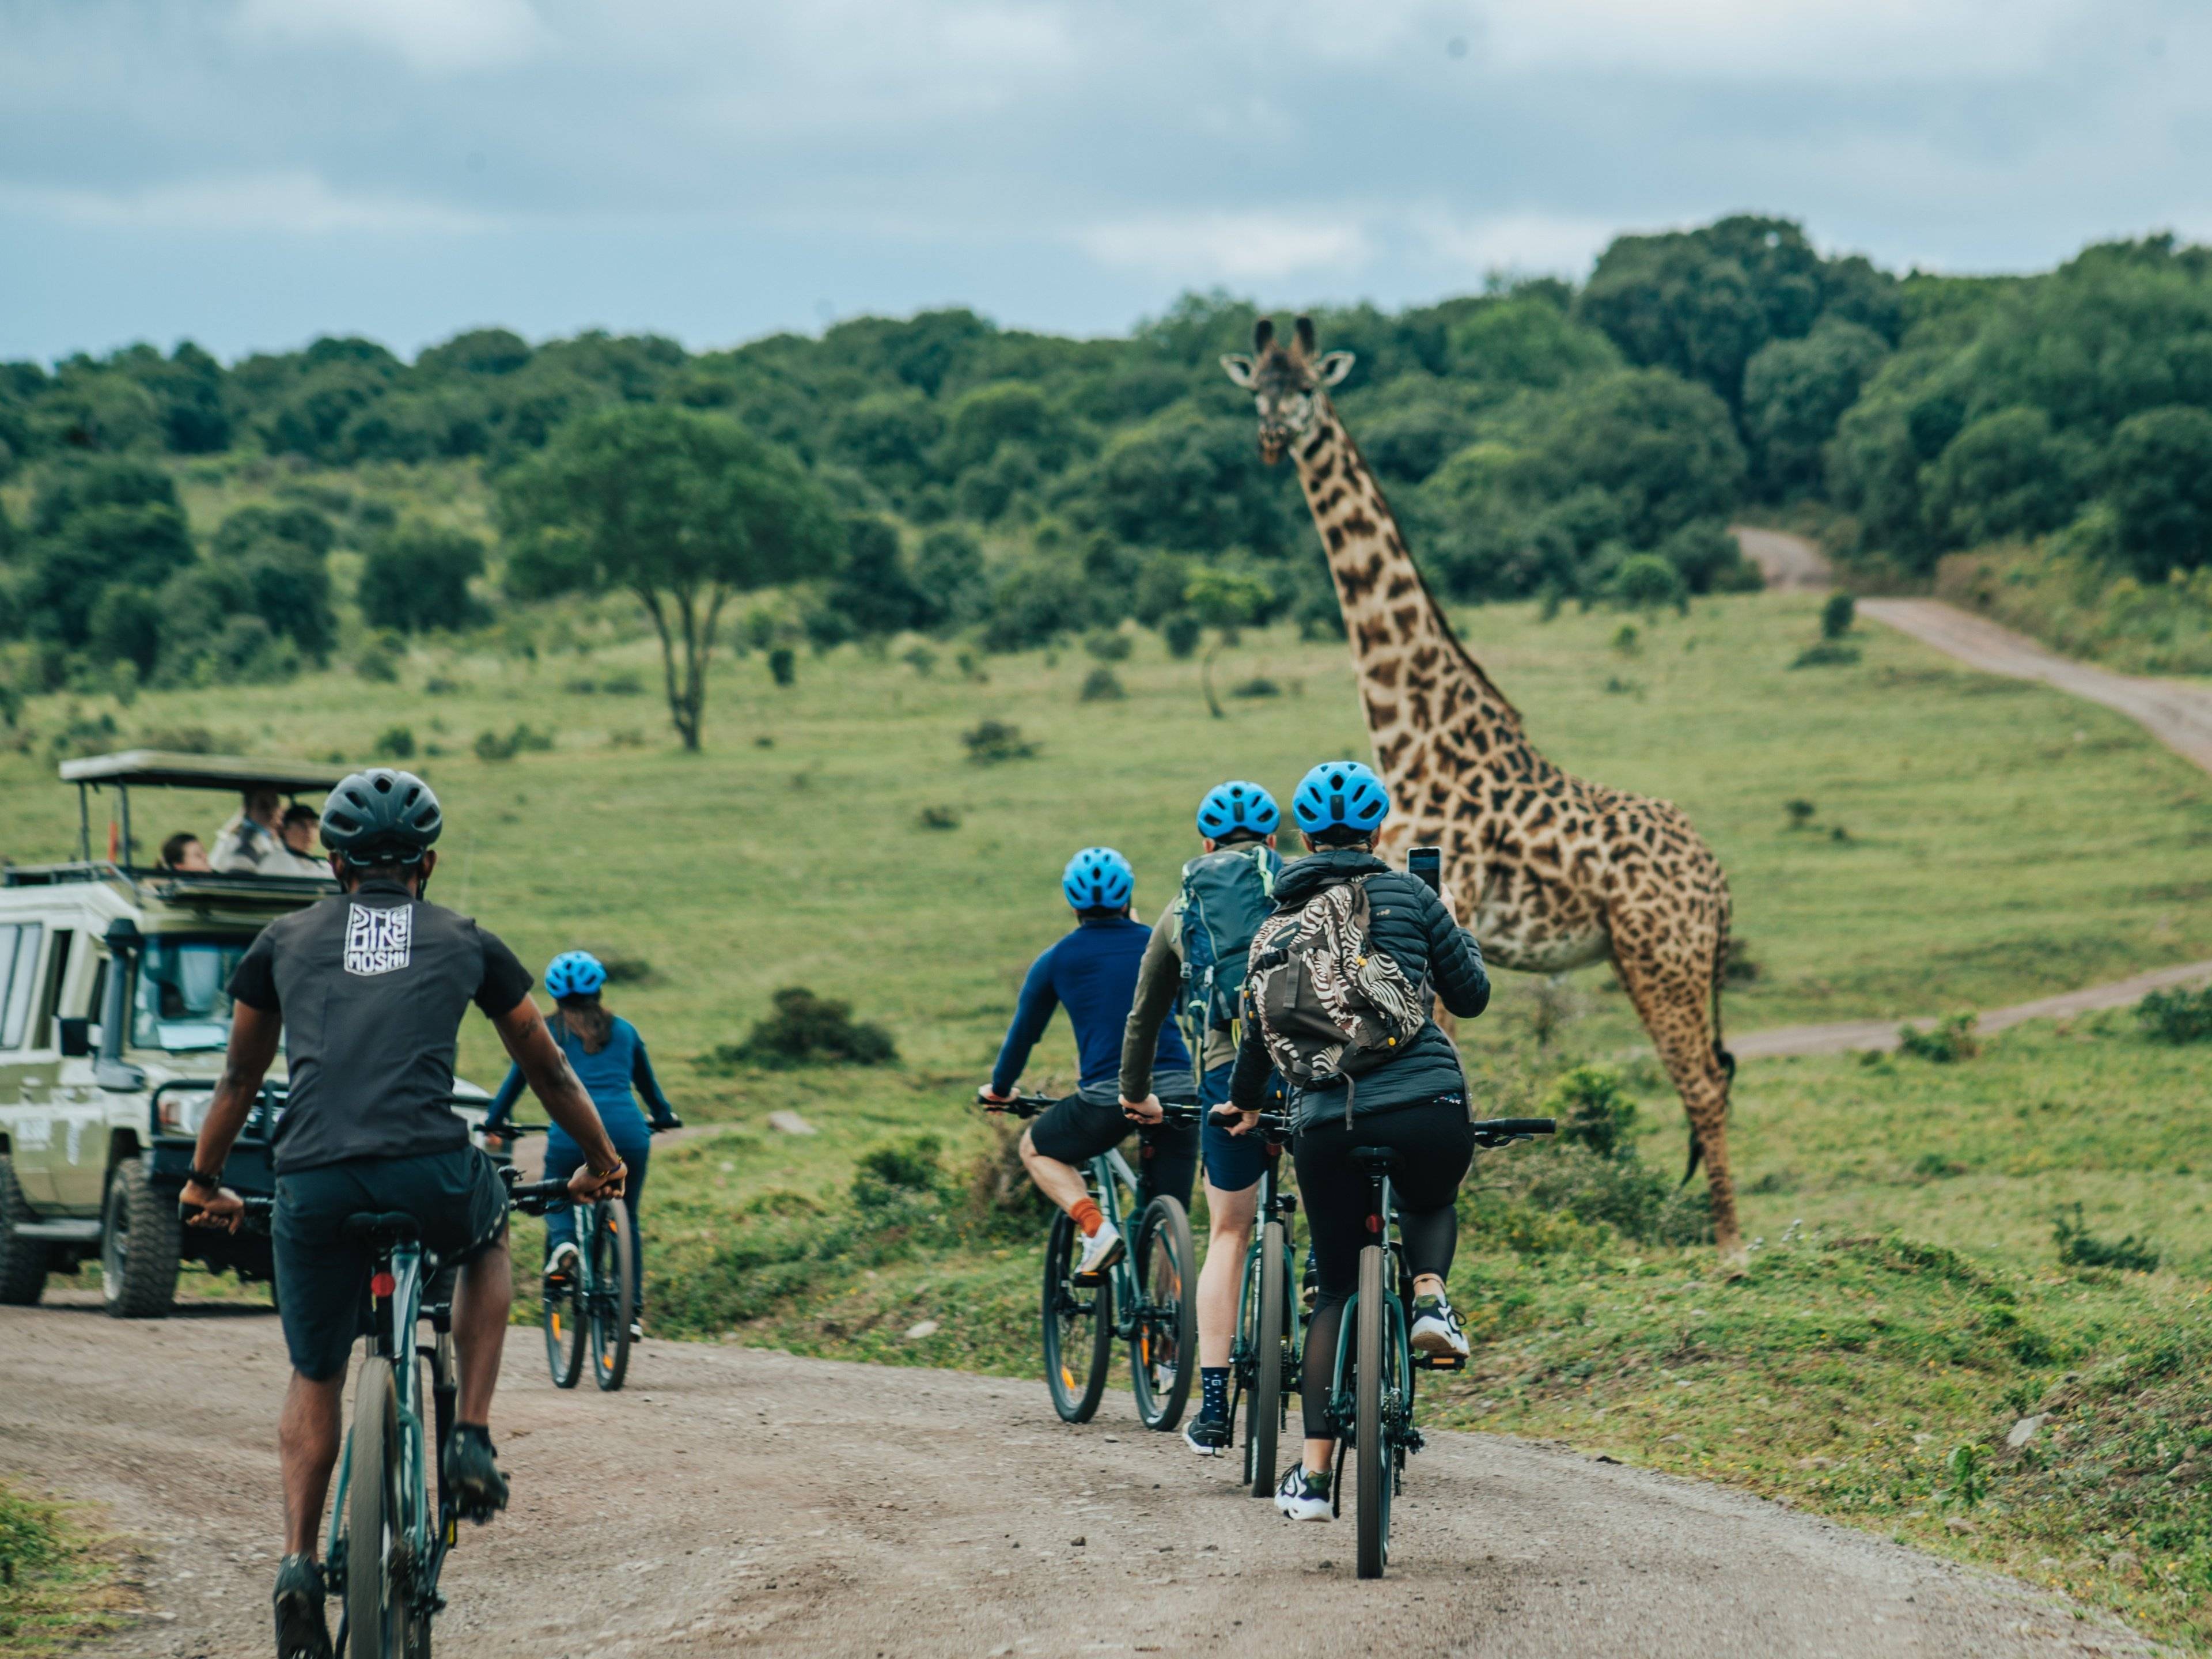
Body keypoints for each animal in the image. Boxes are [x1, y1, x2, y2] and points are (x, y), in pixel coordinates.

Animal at [1221, 314, 1752, 1274]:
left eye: (1309, 387)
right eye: (1257, 390)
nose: (1276, 437)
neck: (1414, 727)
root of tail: (1717, 879)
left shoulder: (1443, 905)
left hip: (1663, 957)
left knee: (1702, 1082)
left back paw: (1730, 1244)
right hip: (1672, 961)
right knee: (1714, 1077)